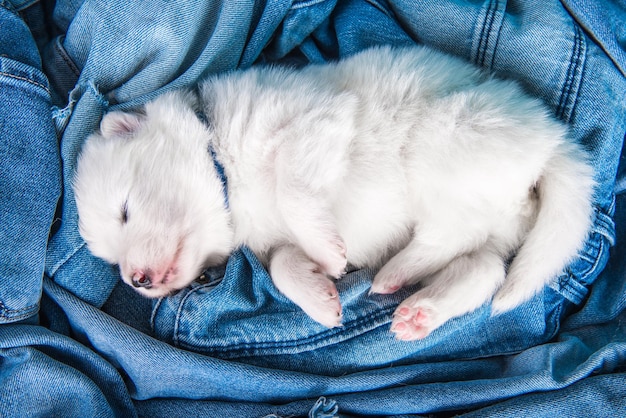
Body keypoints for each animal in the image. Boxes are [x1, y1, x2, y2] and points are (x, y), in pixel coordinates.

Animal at [73, 45, 588, 340]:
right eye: (110, 256)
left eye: (124, 210)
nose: (135, 281)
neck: (225, 167)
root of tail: (554, 142)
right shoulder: (274, 239)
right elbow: (283, 263)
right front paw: (319, 294)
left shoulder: (313, 122)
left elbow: (293, 190)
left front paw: (328, 251)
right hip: (489, 215)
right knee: (482, 267)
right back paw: (418, 306)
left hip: (441, 140)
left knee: (452, 236)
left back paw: (395, 273)